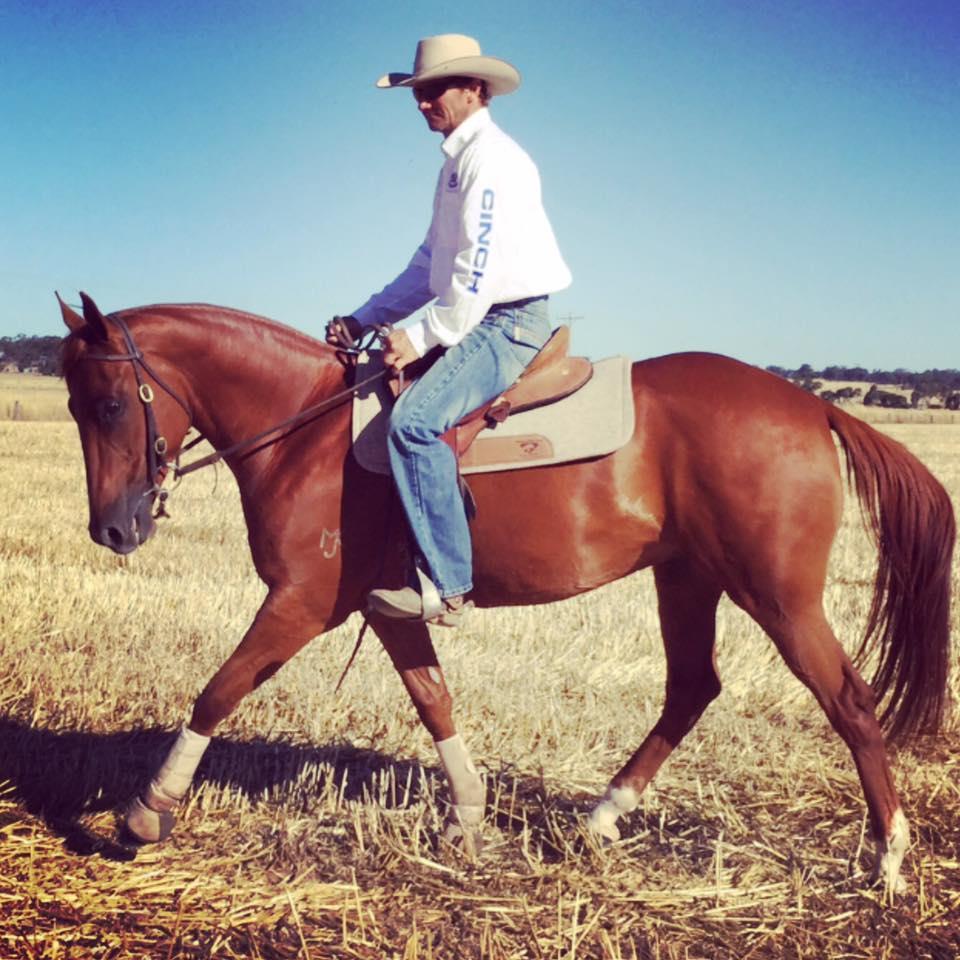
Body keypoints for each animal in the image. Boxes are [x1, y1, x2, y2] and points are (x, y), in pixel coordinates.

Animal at [58, 292, 954, 895]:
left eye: (110, 403)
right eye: (72, 403)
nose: (112, 529)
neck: (304, 433)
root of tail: (811, 406)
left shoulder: (300, 604)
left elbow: (219, 689)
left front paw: (147, 809)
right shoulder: (386, 610)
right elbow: (434, 701)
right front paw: (467, 815)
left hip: (779, 597)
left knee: (850, 702)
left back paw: (887, 858)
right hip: (687, 578)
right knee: (693, 687)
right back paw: (602, 816)